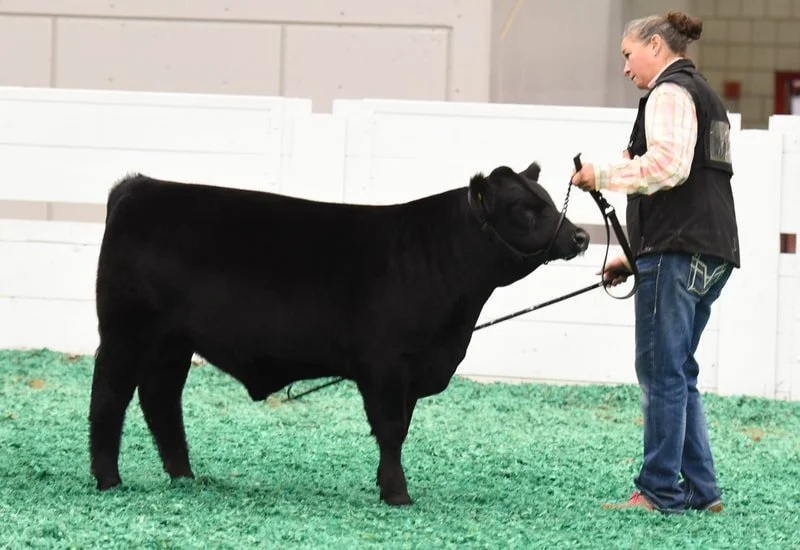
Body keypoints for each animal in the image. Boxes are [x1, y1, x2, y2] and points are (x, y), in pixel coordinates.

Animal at [89, 162, 589, 505]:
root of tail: (141, 185)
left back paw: (184, 476)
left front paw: (387, 486)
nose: (581, 237)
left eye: (547, 200)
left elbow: (400, 428)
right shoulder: (386, 366)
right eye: (525, 209)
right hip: (126, 332)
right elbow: (391, 430)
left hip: (172, 342)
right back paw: (108, 479)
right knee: (110, 397)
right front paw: (397, 494)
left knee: (160, 399)